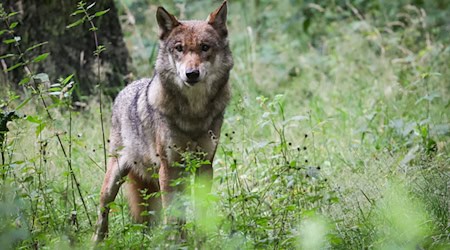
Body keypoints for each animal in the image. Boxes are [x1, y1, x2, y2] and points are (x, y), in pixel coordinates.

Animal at [91, 0, 232, 242]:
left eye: (205, 47)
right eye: (179, 48)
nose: (191, 74)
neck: (193, 113)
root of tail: (126, 88)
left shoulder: (205, 165)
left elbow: (201, 210)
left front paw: (202, 240)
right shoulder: (169, 167)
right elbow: (172, 214)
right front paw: (176, 243)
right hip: (115, 178)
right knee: (103, 211)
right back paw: (98, 242)